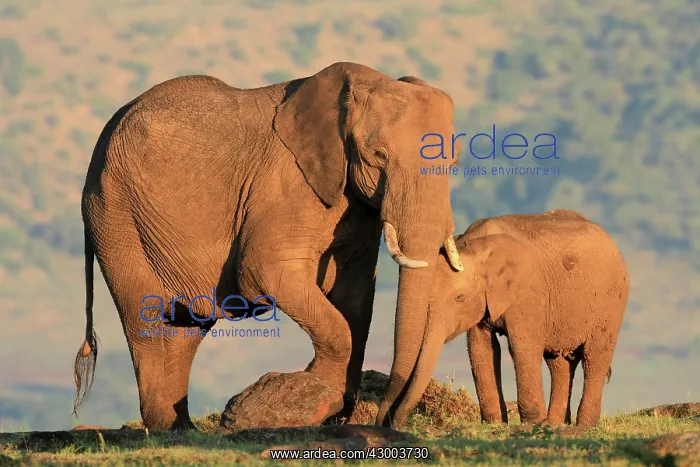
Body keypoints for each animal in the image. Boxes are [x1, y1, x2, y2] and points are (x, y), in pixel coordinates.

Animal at [72, 61, 465, 431]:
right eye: (378, 156)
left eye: (453, 161)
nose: (387, 420)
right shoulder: (286, 185)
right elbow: (265, 273)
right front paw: (320, 396)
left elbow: (356, 298)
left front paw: (334, 407)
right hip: (116, 215)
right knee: (148, 321)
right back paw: (170, 428)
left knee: (185, 328)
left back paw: (182, 429)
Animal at [377, 209, 630, 428]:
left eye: (460, 297)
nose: (392, 423)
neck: (476, 246)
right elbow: (482, 350)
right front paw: (495, 423)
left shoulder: (527, 291)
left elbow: (522, 347)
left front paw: (532, 424)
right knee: (557, 362)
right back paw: (556, 424)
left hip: (611, 302)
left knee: (594, 358)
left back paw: (584, 425)